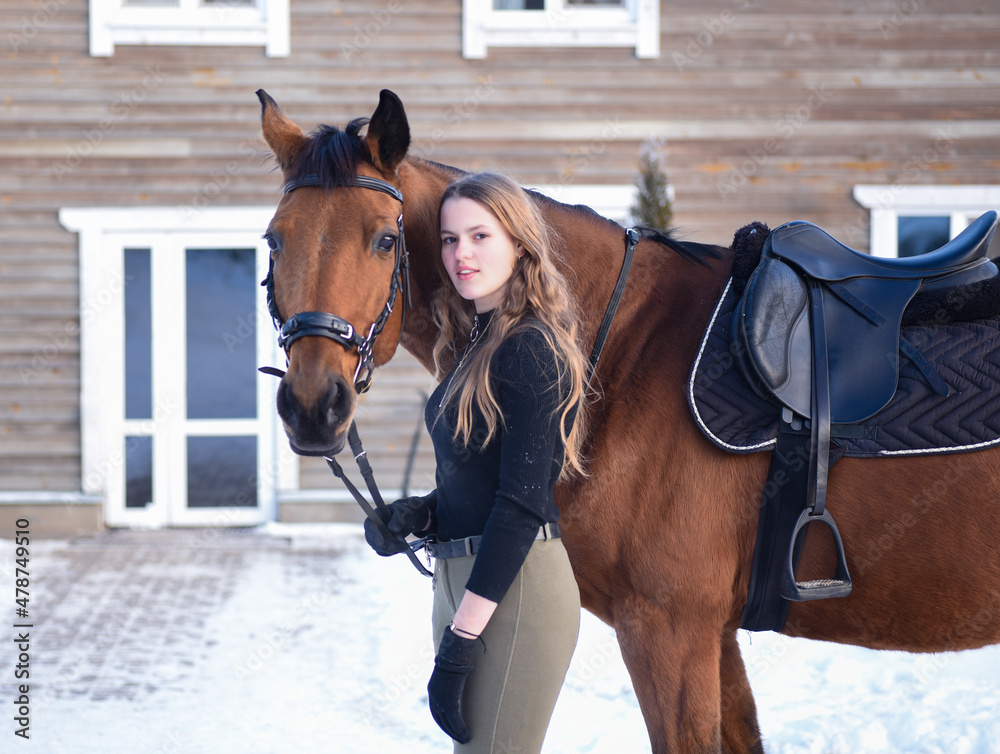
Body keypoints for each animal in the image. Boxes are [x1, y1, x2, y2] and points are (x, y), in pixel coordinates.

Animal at [254, 88, 1000, 753]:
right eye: (274, 241)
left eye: (385, 241)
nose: (313, 407)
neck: (623, 346)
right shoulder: (713, 635)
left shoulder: (668, 631)